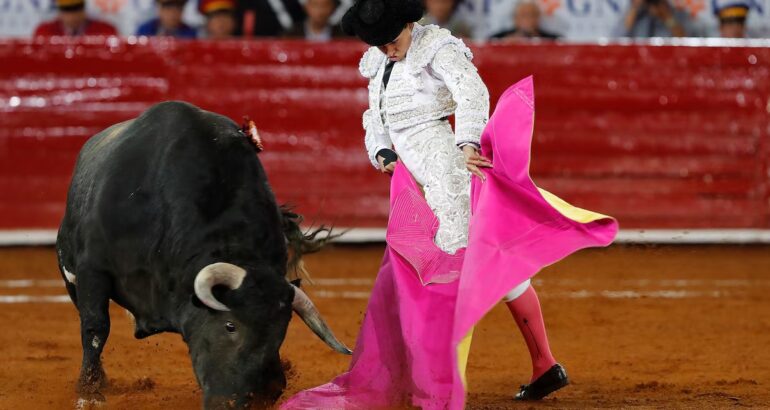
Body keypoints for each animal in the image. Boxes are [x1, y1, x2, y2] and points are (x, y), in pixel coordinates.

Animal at [56, 101, 352, 408]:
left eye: (281, 332)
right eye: (230, 326)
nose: (232, 402)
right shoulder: (92, 270)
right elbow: (96, 327)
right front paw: (90, 391)